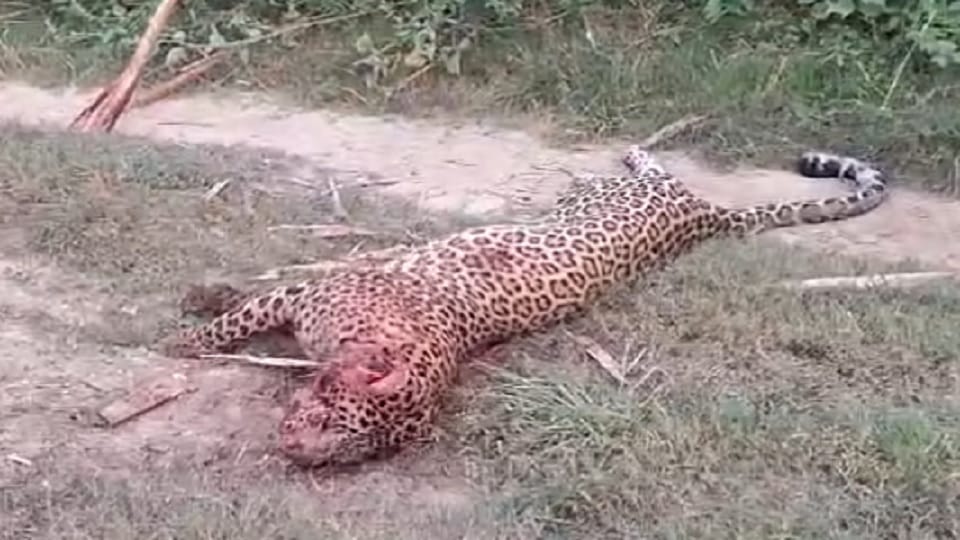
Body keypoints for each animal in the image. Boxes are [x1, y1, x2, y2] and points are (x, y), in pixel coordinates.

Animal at [158, 144, 888, 468]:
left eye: (346, 448)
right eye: (333, 418)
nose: (293, 451)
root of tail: (707, 217)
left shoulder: (308, 298)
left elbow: (246, 309)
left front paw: (186, 331)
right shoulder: (304, 293)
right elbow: (236, 315)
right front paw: (181, 339)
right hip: (598, 196)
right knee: (640, 171)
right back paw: (631, 151)